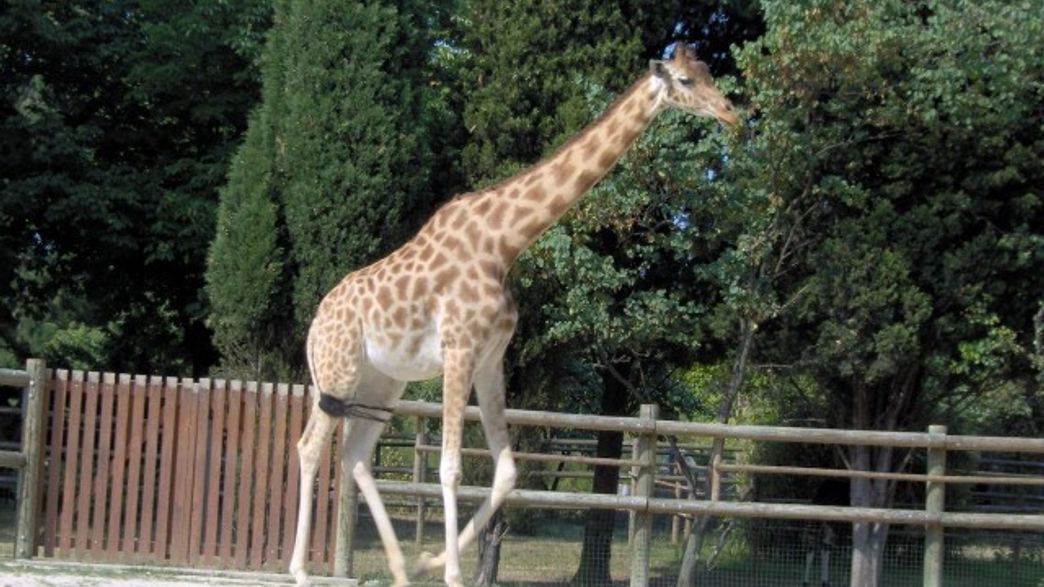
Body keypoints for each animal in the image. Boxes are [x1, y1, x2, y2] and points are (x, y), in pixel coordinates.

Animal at [289, 44, 739, 587]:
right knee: (309, 447)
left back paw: (400, 566)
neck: (504, 242)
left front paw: (431, 560)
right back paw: (299, 570)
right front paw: (452, 573)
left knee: (355, 455)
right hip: (338, 372)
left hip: (383, 381)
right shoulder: (460, 347)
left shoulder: (490, 357)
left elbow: (507, 472)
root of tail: (315, 324)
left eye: (708, 72)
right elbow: (450, 468)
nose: (733, 114)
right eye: (685, 81)